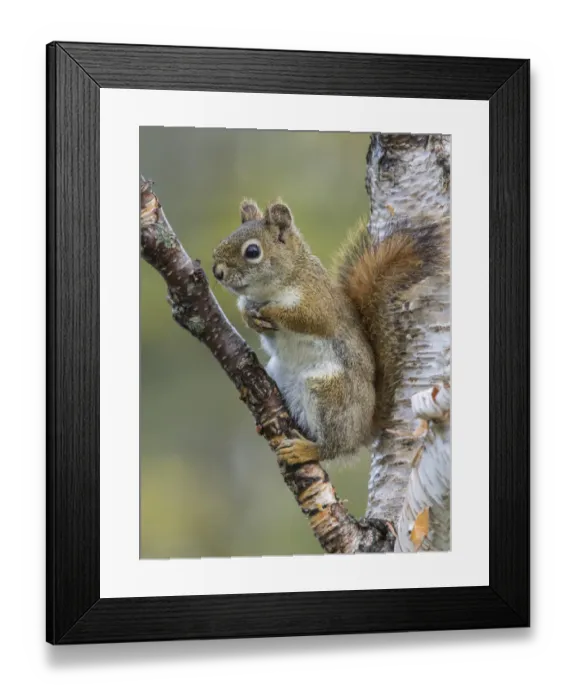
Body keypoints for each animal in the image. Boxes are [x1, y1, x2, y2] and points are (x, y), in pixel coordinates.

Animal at [212, 198, 445, 467]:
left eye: (252, 251)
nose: (217, 272)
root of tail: (364, 428)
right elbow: (248, 310)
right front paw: (251, 317)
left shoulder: (319, 303)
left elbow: (307, 319)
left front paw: (269, 311)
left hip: (329, 391)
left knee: (335, 446)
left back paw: (307, 450)